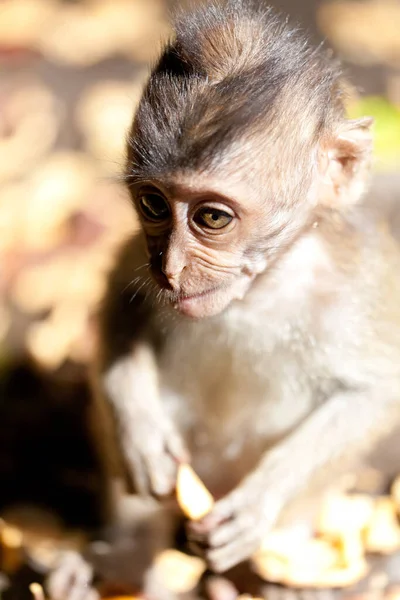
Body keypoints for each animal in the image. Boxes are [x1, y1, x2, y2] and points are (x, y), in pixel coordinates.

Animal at [47, 0, 400, 596]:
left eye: (212, 218)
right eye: (153, 204)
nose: (171, 268)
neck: (260, 290)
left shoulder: (355, 288)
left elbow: (374, 393)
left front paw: (259, 502)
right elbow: (121, 297)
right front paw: (139, 430)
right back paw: (120, 562)